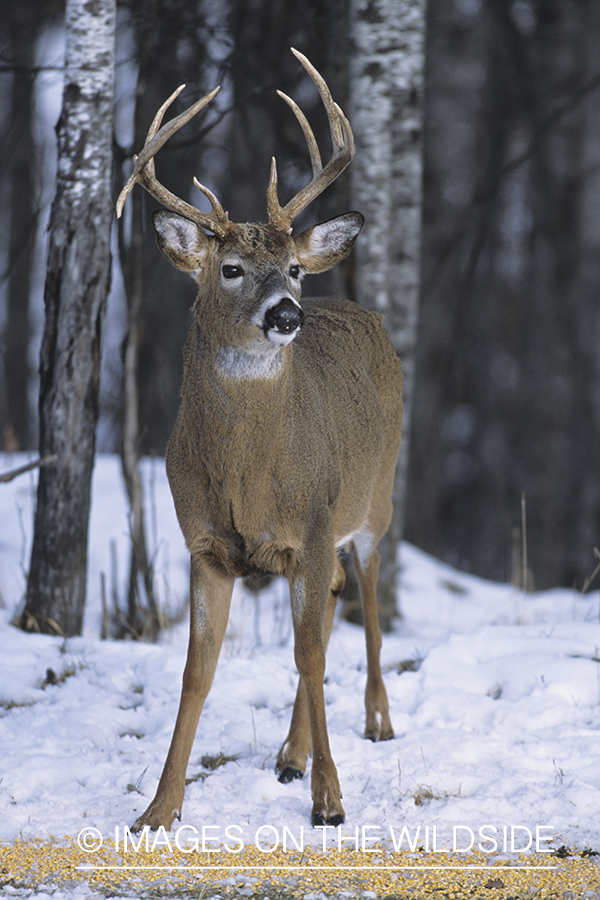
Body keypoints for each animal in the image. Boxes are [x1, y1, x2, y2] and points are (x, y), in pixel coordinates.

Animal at [116, 47, 404, 828]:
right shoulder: (207, 545)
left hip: (375, 495)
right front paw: (158, 810)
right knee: (334, 598)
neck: (249, 476)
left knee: (366, 592)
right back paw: (291, 753)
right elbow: (196, 672)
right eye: (231, 269)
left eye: (295, 268)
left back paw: (377, 720)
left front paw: (331, 801)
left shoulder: (312, 525)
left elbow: (309, 656)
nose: (285, 313)